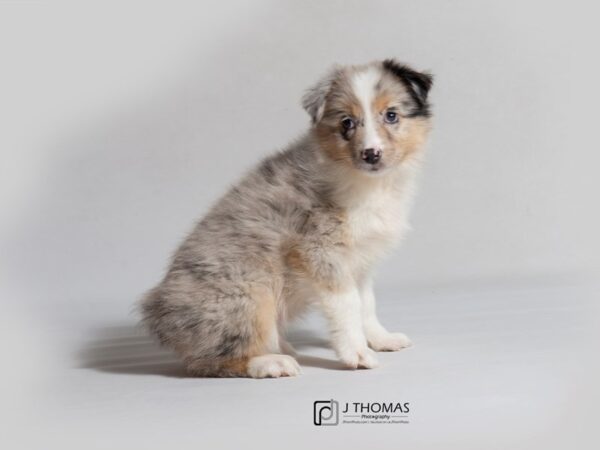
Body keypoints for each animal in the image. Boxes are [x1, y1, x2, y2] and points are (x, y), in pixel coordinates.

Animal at [141, 59, 432, 376]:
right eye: (346, 122)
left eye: (391, 115)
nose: (371, 154)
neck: (370, 184)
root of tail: (158, 314)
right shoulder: (320, 251)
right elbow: (348, 305)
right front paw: (356, 353)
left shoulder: (361, 260)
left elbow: (366, 303)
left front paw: (381, 339)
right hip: (249, 292)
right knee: (212, 360)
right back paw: (272, 361)